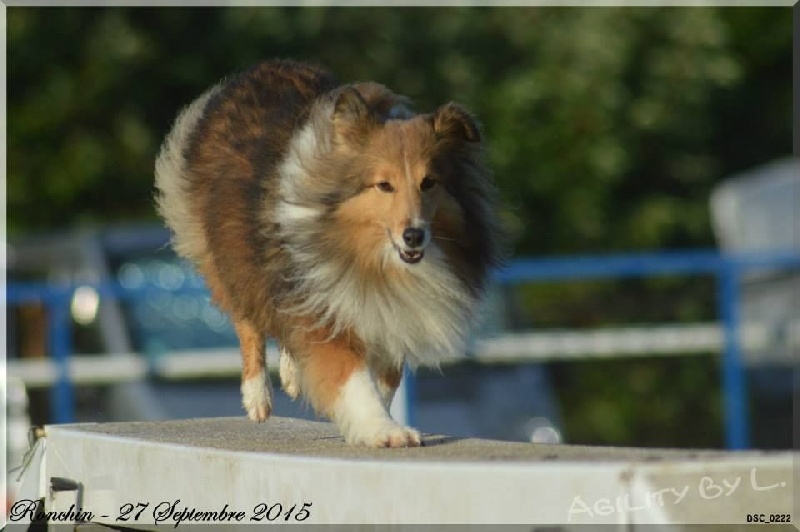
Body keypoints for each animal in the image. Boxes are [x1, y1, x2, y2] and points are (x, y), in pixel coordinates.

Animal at [155, 58, 500, 446]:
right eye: (384, 185)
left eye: (429, 183)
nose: (414, 236)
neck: (371, 257)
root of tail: (266, 66)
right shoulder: (323, 300)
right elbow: (352, 377)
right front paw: (384, 430)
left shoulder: (385, 310)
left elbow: (386, 378)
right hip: (232, 251)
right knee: (248, 321)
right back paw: (257, 397)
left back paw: (291, 373)